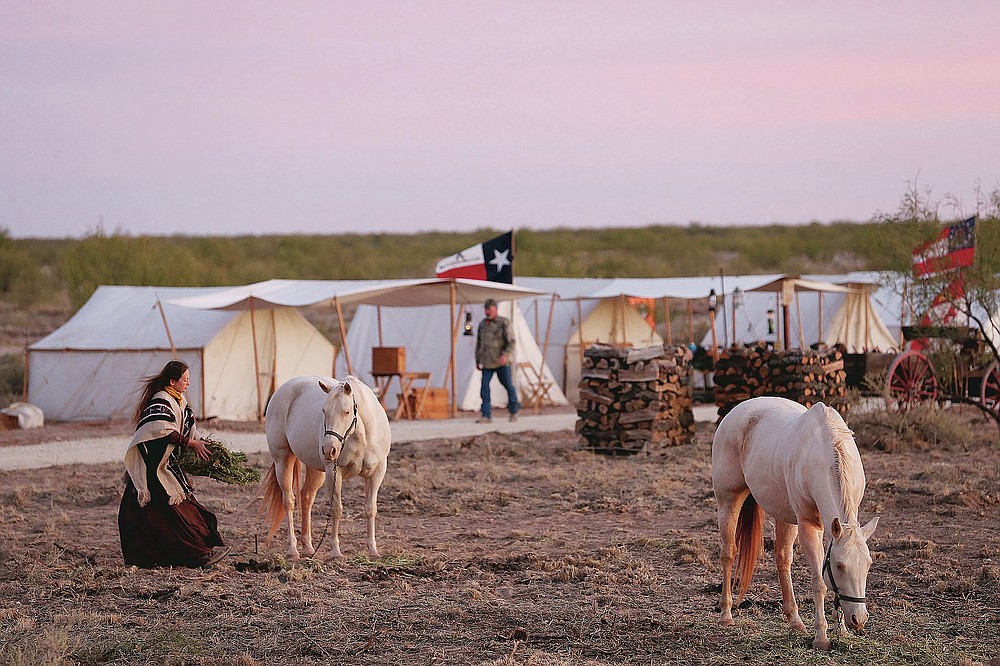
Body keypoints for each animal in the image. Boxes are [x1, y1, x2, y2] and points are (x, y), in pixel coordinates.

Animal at [258, 376, 390, 556]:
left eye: (346, 412)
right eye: (324, 411)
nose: (329, 450)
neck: (362, 437)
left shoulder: (377, 473)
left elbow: (371, 509)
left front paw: (373, 550)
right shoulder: (334, 472)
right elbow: (336, 509)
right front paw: (335, 551)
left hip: (315, 470)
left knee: (306, 497)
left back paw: (308, 546)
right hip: (283, 460)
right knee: (289, 501)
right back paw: (293, 549)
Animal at [712, 396, 884, 644]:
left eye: (868, 564)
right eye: (839, 566)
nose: (858, 619)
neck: (824, 455)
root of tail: (738, 411)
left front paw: (841, 629)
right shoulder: (808, 525)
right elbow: (819, 582)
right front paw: (821, 637)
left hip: (784, 515)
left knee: (782, 559)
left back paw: (795, 620)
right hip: (729, 501)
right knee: (728, 554)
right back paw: (726, 614)